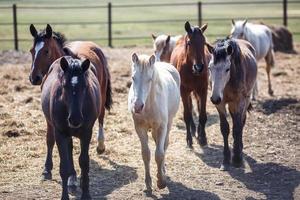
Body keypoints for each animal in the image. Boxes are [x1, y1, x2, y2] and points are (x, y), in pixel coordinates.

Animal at [28, 24, 112, 180]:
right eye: (32, 51)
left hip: (102, 94)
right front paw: (47, 169)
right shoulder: (51, 118)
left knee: (101, 117)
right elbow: (51, 139)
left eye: (46, 51)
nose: (34, 78)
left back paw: (100, 145)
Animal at [41, 56, 99, 200]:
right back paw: (47, 170)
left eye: (85, 86)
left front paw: (86, 194)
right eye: (64, 86)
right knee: (50, 142)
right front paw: (64, 196)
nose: (75, 119)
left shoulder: (86, 133)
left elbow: (84, 162)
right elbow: (64, 167)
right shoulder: (60, 133)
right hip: (50, 124)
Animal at [127, 52, 179, 191]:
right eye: (133, 78)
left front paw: (161, 181)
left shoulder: (161, 127)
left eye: (149, 79)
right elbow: (146, 154)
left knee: (164, 145)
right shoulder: (140, 128)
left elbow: (159, 154)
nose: (137, 106)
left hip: (169, 123)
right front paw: (148, 183)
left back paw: (163, 171)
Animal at [206, 38, 258, 170]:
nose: (214, 98)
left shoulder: (239, 102)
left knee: (241, 122)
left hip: (246, 99)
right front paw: (225, 160)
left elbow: (237, 128)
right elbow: (225, 128)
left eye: (227, 69)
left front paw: (237, 159)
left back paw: (239, 148)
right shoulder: (220, 104)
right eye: (210, 68)